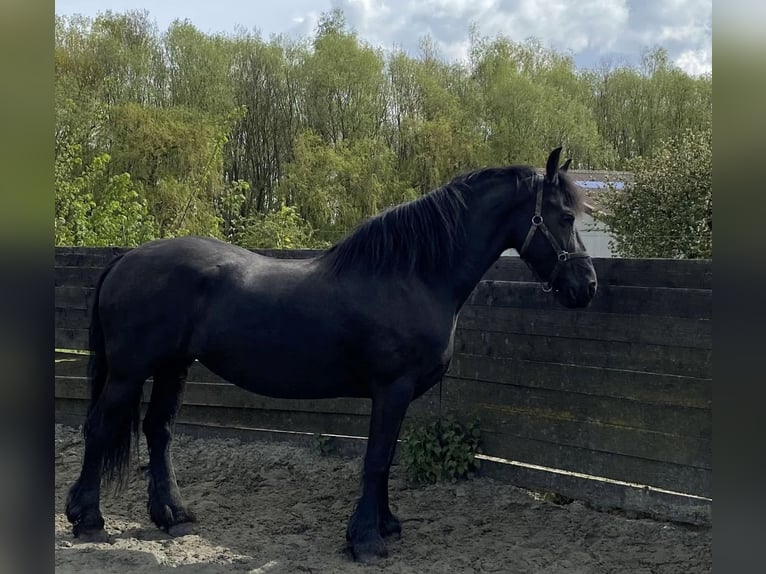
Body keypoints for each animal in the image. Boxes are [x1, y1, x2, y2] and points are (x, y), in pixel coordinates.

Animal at [65, 147, 597, 562]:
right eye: (566, 217)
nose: (587, 287)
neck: (412, 276)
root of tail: (126, 258)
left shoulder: (397, 396)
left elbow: (386, 458)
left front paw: (386, 525)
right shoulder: (392, 388)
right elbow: (377, 459)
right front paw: (366, 541)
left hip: (173, 367)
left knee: (159, 431)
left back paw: (172, 515)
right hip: (129, 372)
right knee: (100, 428)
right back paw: (87, 519)